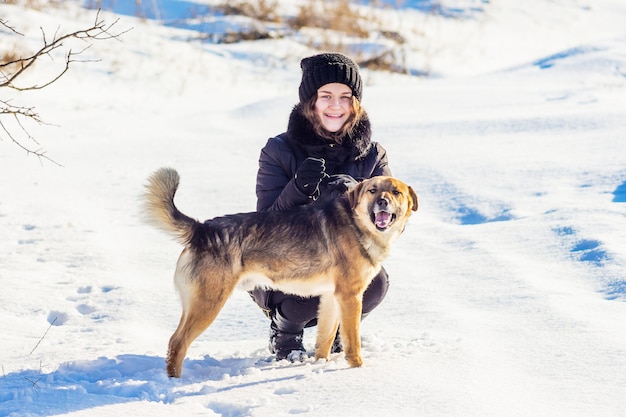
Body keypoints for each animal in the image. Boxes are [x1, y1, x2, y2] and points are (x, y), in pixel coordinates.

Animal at [141, 167, 414, 376]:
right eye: (372, 190)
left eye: (396, 192)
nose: (383, 202)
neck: (357, 223)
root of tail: (201, 229)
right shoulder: (349, 297)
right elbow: (352, 340)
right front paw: (358, 368)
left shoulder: (330, 297)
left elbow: (325, 338)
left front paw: (319, 366)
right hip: (208, 303)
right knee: (177, 343)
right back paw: (175, 383)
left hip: (196, 304)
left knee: (174, 342)